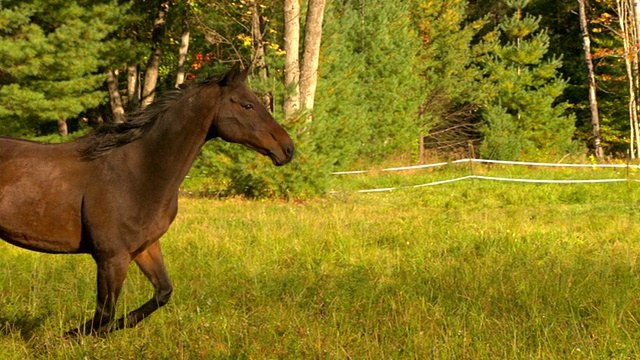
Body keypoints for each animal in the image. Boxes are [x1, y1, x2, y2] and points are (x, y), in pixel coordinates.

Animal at [0, 64, 296, 334]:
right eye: (247, 105)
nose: (288, 148)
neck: (137, 172)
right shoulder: (112, 258)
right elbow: (104, 314)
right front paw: (72, 335)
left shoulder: (145, 247)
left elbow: (162, 292)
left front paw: (115, 326)